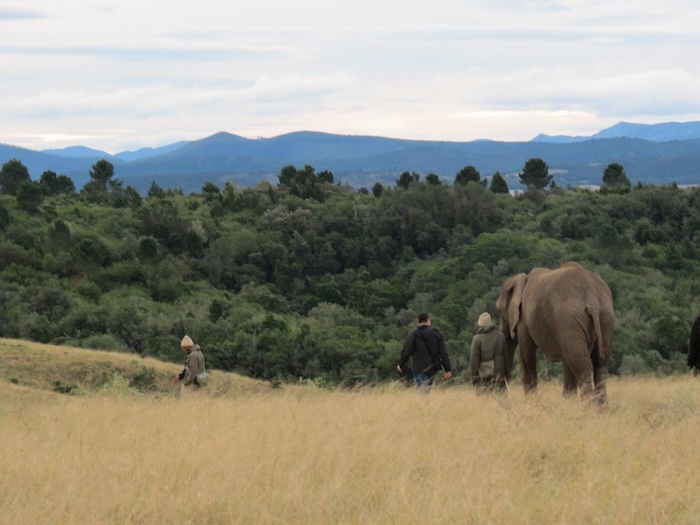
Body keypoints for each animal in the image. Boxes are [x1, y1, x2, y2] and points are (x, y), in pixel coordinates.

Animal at [495, 262, 614, 404]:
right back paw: (601, 407)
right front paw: (567, 402)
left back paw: (589, 406)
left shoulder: (524, 319)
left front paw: (531, 403)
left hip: (570, 319)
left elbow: (527, 359)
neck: (522, 279)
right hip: (604, 316)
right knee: (599, 363)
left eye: (499, 311)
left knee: (580, 363)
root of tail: (592, 299)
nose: (503, 397)